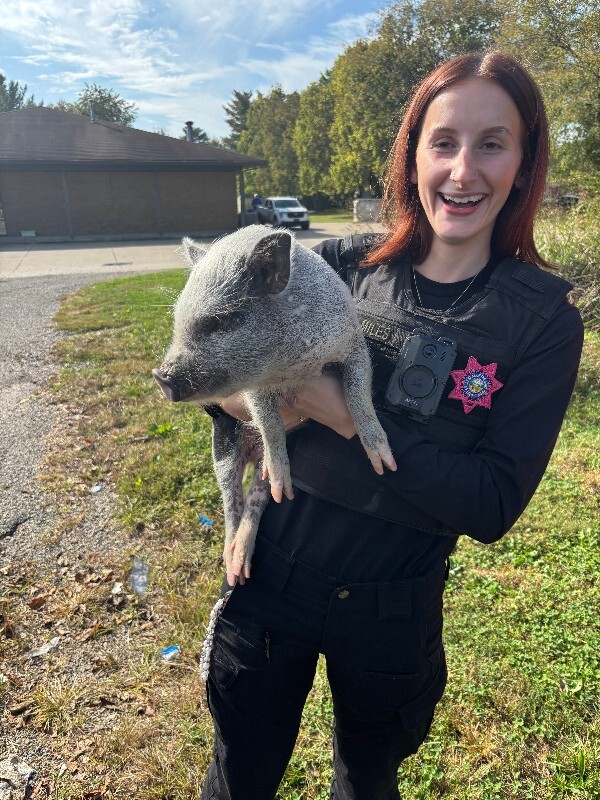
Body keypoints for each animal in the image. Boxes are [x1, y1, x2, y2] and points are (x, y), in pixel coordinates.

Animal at [153, 225, 395, 586]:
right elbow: (269, 422)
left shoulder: (353, 346)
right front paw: (281, 477)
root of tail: (253, 457)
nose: (160, 377)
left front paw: (385, 466)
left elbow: (359, 397)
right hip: (222, 446)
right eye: (177, 320)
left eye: (219, 322)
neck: (293, 364)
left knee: (257, 498)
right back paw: (234, 562)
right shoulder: (255, 387)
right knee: (231, 502)